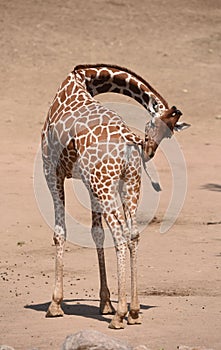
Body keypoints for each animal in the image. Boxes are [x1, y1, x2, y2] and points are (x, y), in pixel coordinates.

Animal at [41, 64, 190, 330]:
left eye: (169, 134)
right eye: (155, 125)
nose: (149, 151)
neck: (83, 79)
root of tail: (128, 144)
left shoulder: (51, 169)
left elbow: (60, 232)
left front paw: (56, 304)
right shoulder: (88, 183)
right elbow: (96, 233)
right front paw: (106, 302)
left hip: (105, 185)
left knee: (120, 235)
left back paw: (120, 316)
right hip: (128, 185)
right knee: (133, 235)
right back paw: (134, 311)